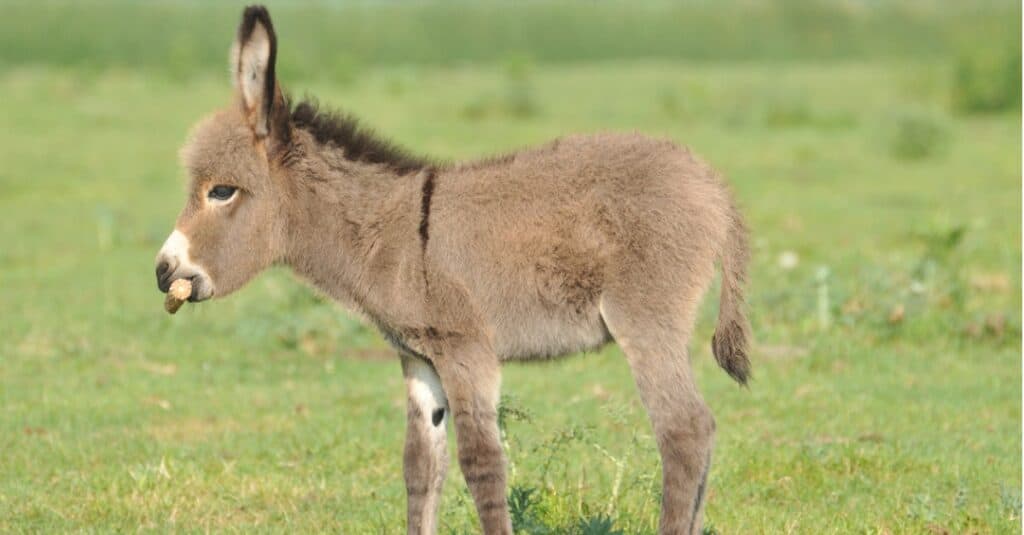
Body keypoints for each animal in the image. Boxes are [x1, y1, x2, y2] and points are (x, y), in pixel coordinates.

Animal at [155, 6, 757, 528]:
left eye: (222, 191)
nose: (163, 271)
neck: (392, 236)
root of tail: (712, 186)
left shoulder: (467, 351)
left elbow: (482, 465)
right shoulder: (419, 360)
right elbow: (421, 470)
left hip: (646, 320)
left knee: (684, 432)